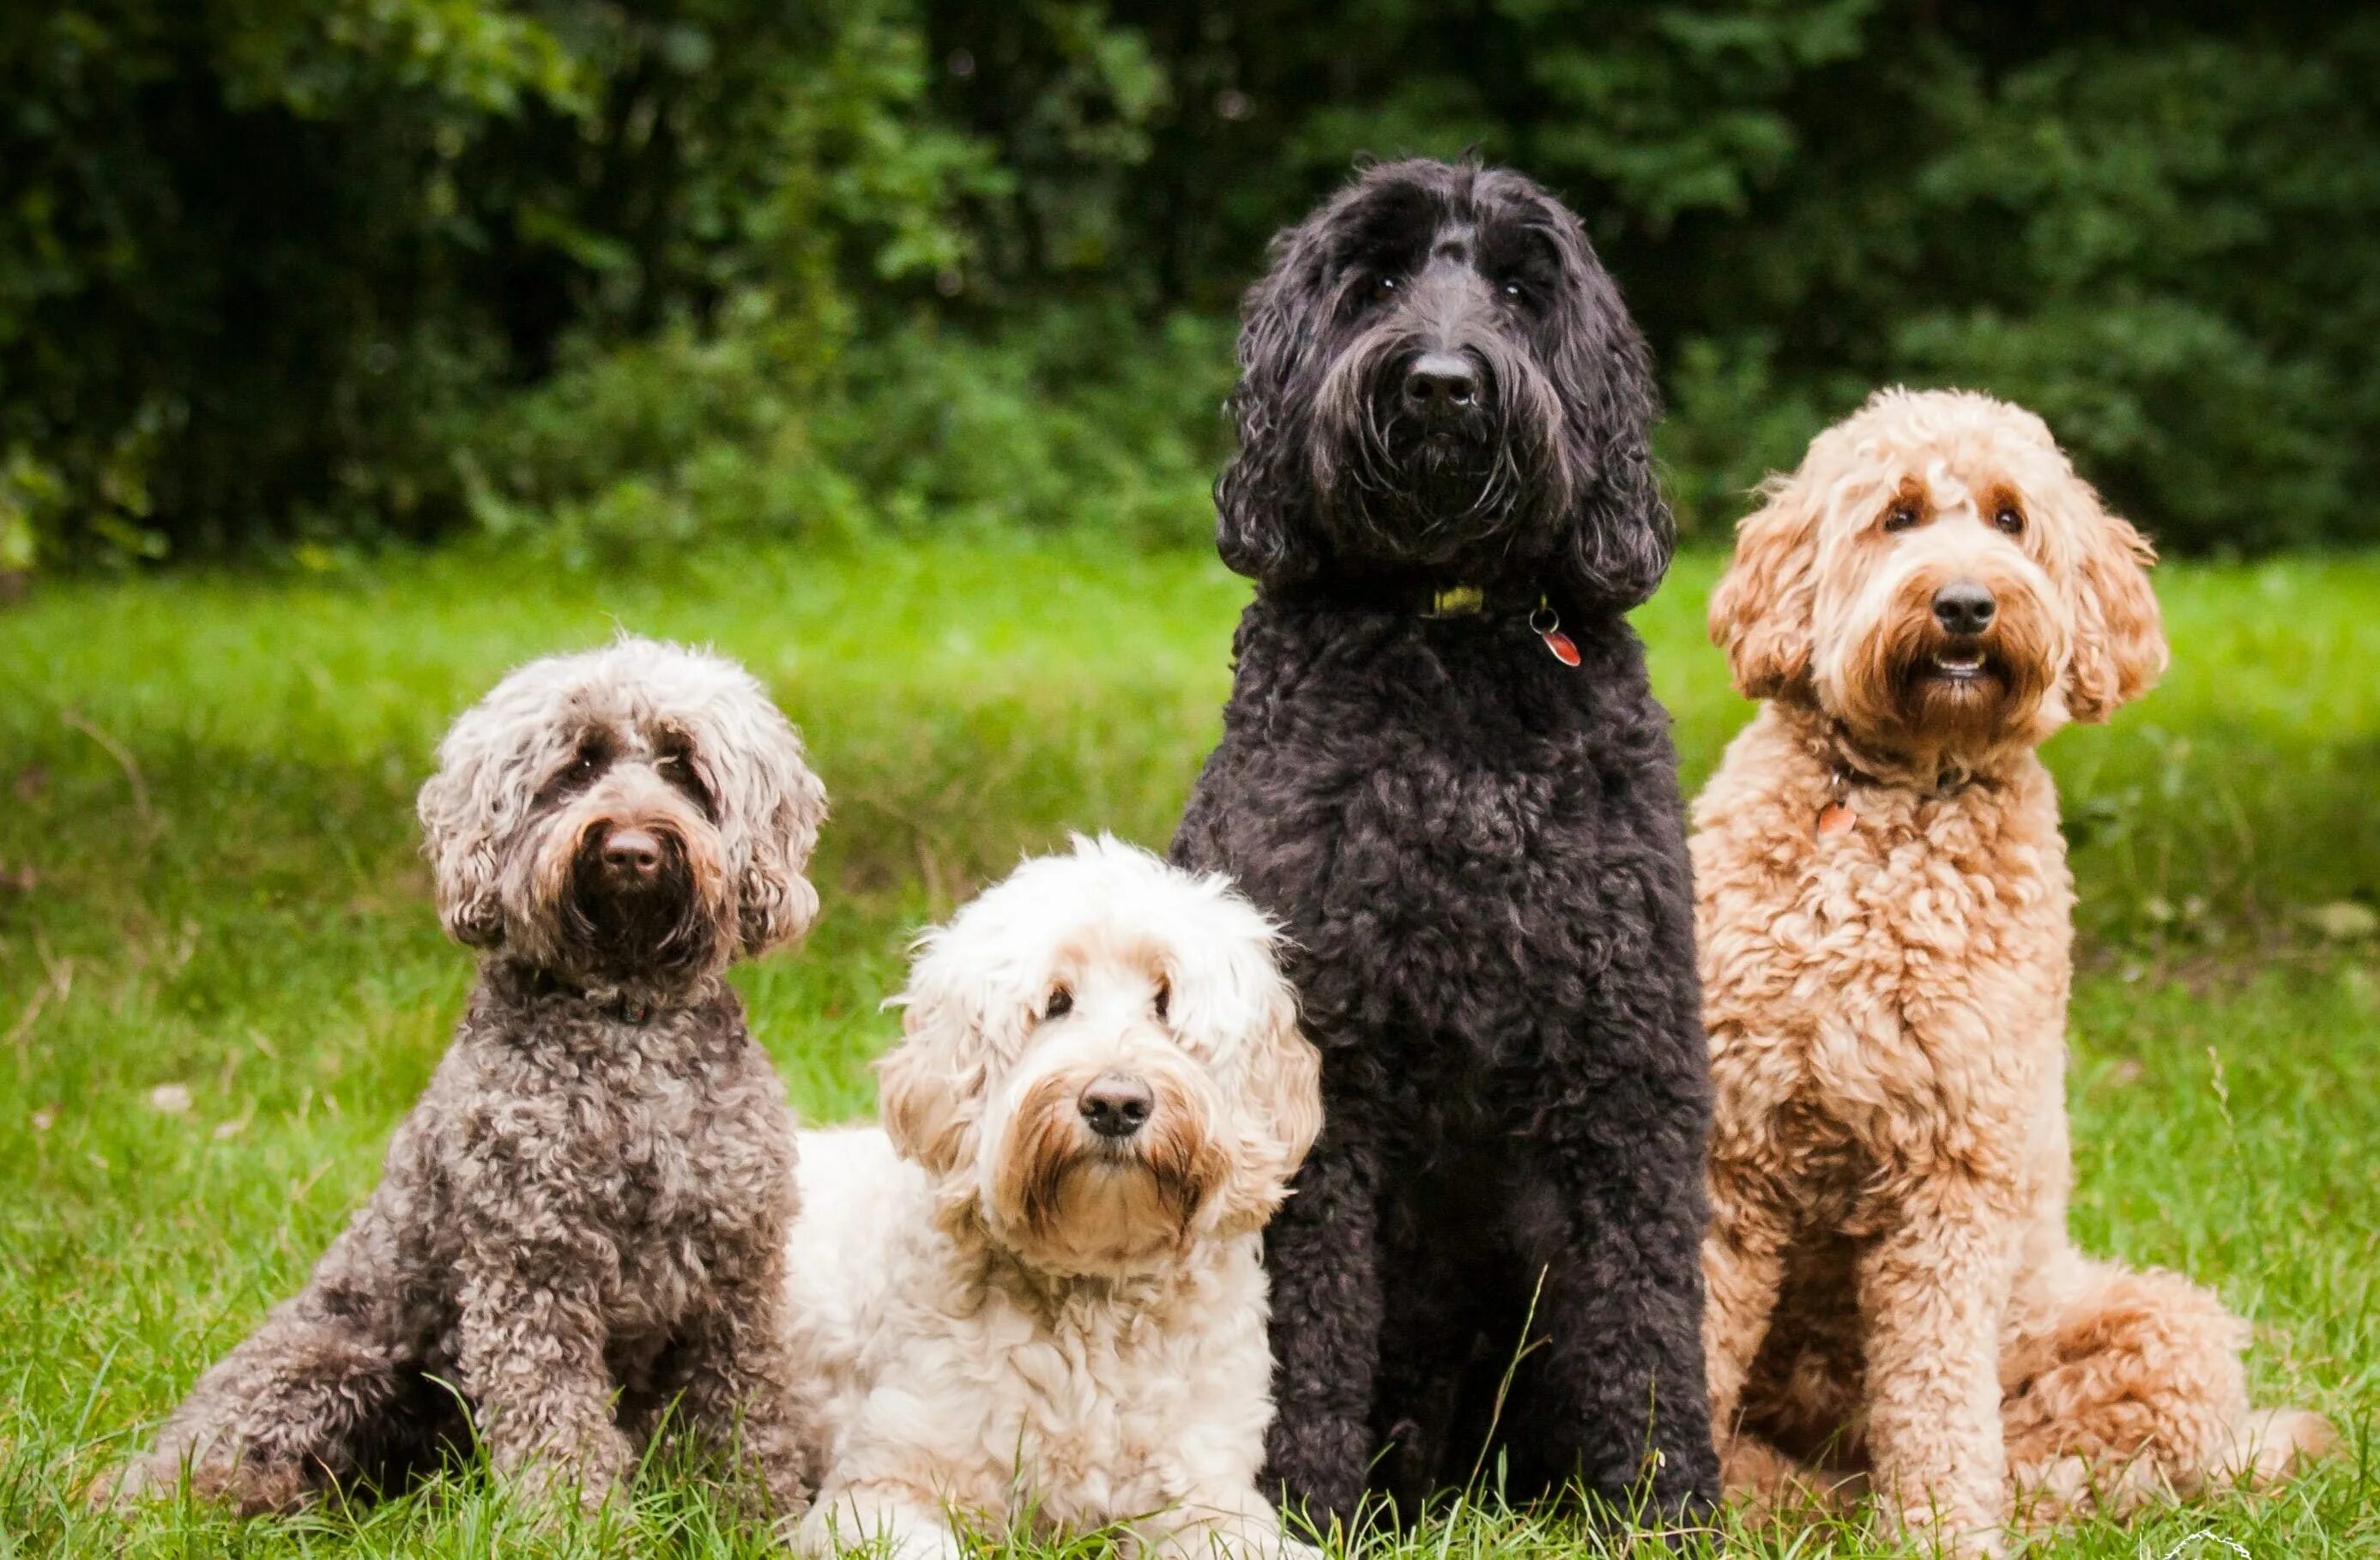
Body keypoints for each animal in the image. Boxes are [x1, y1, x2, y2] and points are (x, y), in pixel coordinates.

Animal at [789, 843, 1332, 1560]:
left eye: (1165, 1002)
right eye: (1055, 1002)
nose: (1116, 1104)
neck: (1092, 1297)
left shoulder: (1204, 1497)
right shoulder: (880, 1489)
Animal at [1180, 161, 1723, 1533]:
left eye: (1524, 291)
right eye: (1372, 278)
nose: (1438, 381)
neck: (1454, 643)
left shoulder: (1627, 1063)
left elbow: (1644, 1311)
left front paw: (1664, 1507)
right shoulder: (1320, 1069)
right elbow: (1304, 1320)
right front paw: (1296, 1510)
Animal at [1694, 388, 2323, 1552]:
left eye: (2008, 519)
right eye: (1896, 515)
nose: (1964, 604)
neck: (1895, 810)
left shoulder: (1953, 1172)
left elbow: (1938, 1391)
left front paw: (1942, 1533)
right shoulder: (1730, 1150)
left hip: (2158, 1326)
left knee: (2083, 1464)